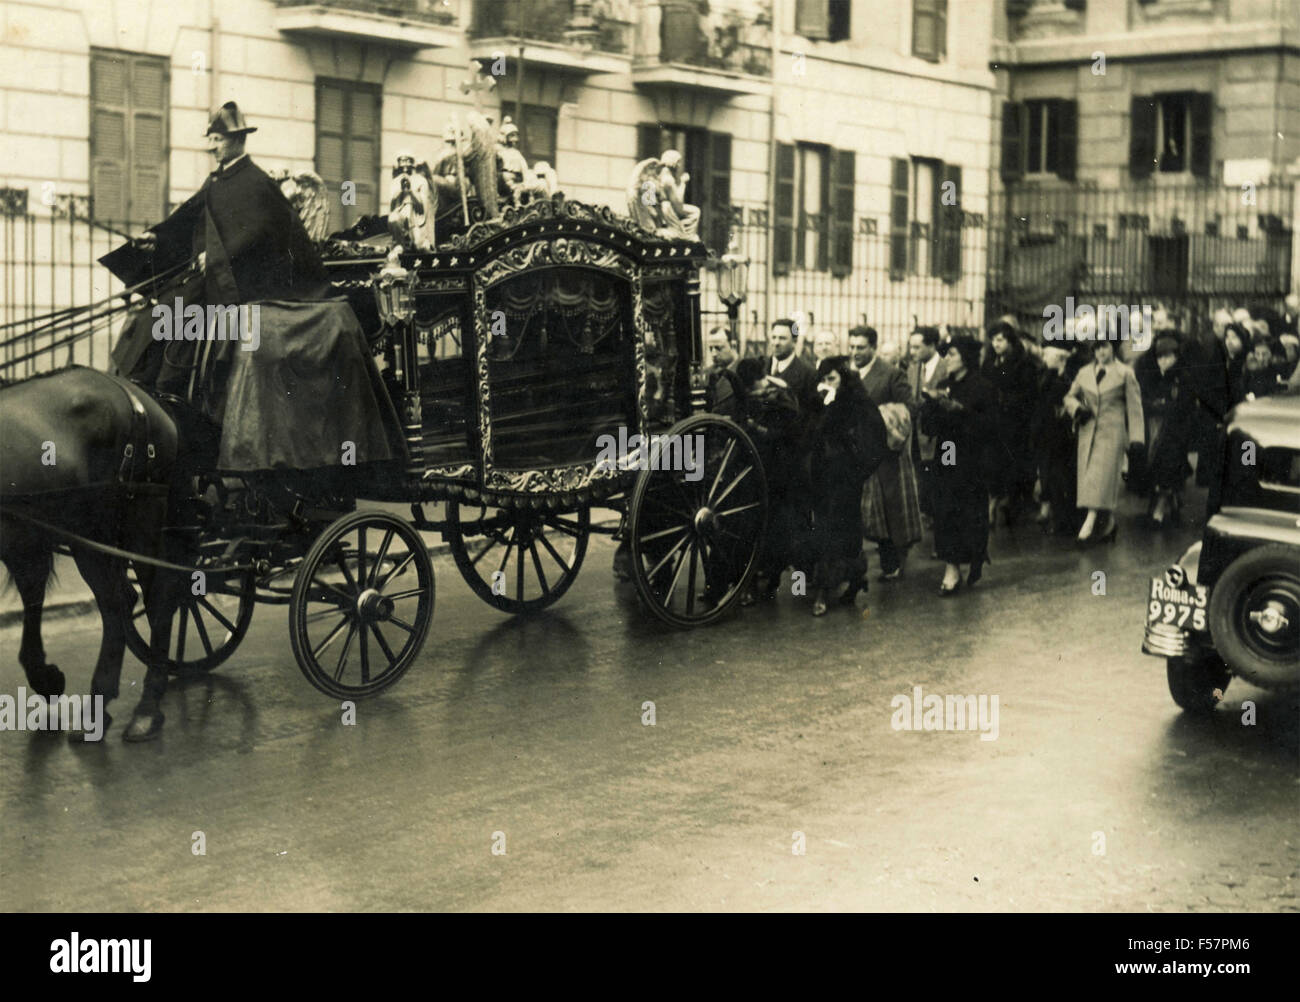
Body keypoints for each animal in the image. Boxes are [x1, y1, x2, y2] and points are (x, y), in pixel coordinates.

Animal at [1, 363, 188, 738]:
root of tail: (143, 396)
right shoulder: (25, 540)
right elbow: (33, 599)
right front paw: (47, 678)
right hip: (88, 534)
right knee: (118, 601)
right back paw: (99, 706)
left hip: (137, 518)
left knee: (154, 597)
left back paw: (146, 707)